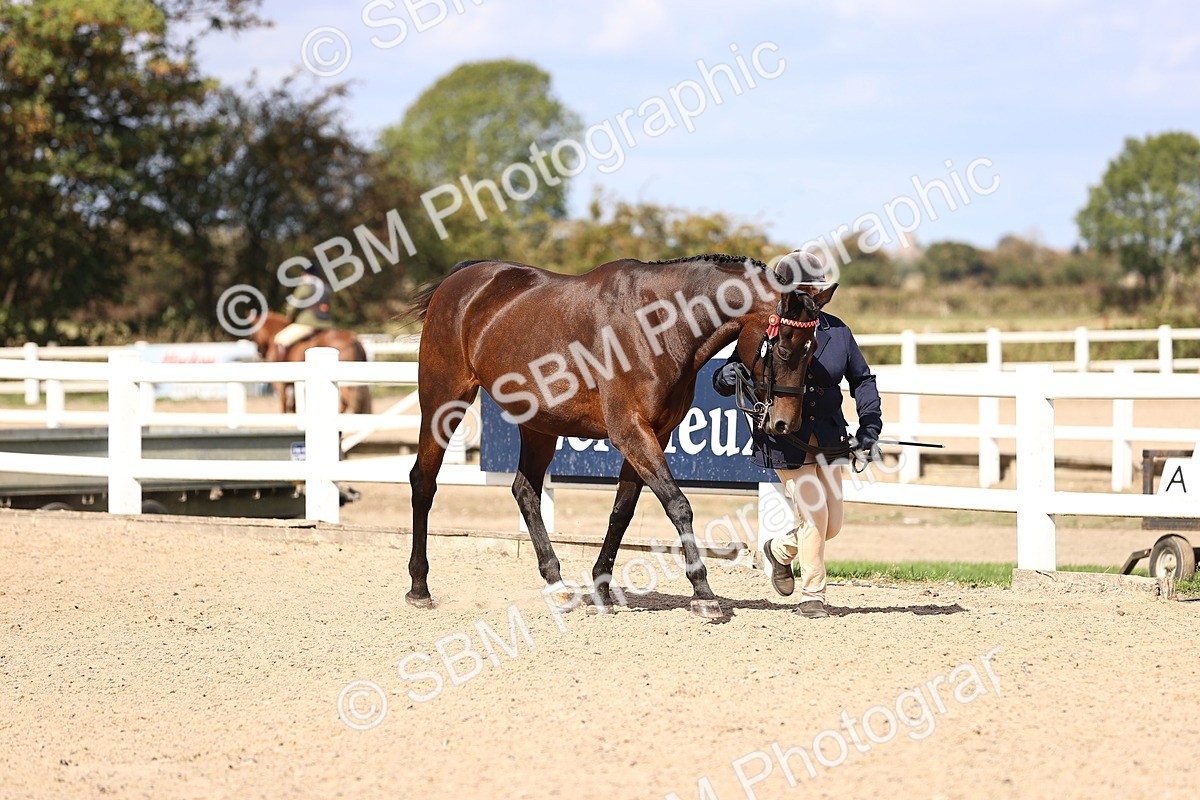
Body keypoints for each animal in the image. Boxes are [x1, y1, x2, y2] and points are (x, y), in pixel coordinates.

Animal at [407, 254, 836, 619]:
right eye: (783, 348)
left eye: (814, 348)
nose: (784, 424)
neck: (657, 325)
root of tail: (463, 280)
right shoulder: (630, 431)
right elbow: (678, 505)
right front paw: (703, 594)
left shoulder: (654, 434)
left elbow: (622, 512)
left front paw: (601, 590)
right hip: (444, 401)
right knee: (423, 481)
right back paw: (419, 587)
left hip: (539, 424)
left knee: (525, 491)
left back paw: (557, 585)